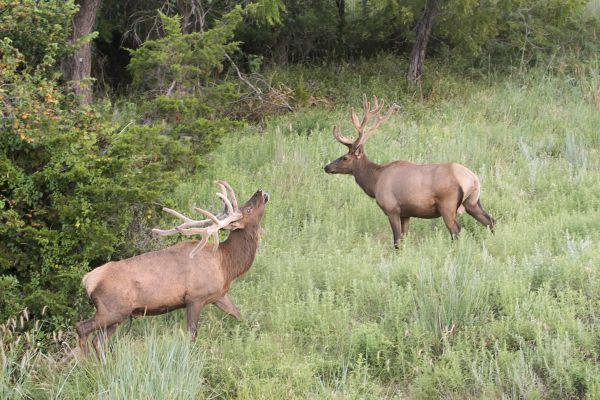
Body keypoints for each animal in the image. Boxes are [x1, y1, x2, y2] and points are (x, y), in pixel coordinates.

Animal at [76, 181, 268, 360]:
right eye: (249, 208)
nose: (260, 191)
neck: (226, 264)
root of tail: (88, 280)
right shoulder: (195, 298)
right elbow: (191, 334)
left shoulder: (219, 296)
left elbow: (240, 315)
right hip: (112, 310)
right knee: (82, 328)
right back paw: (86, 363)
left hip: (117, 315)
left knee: (97, 340)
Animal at [326, 96, 494, 247]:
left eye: (345, 157)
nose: (327, 167)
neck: (374, 183)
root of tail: (473, 179)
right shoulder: (406, 213)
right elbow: (405, 238)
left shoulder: (392, 208)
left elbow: (397, 241)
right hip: (473, 201)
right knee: (490, 220)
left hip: (448, 205)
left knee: (456, 230)